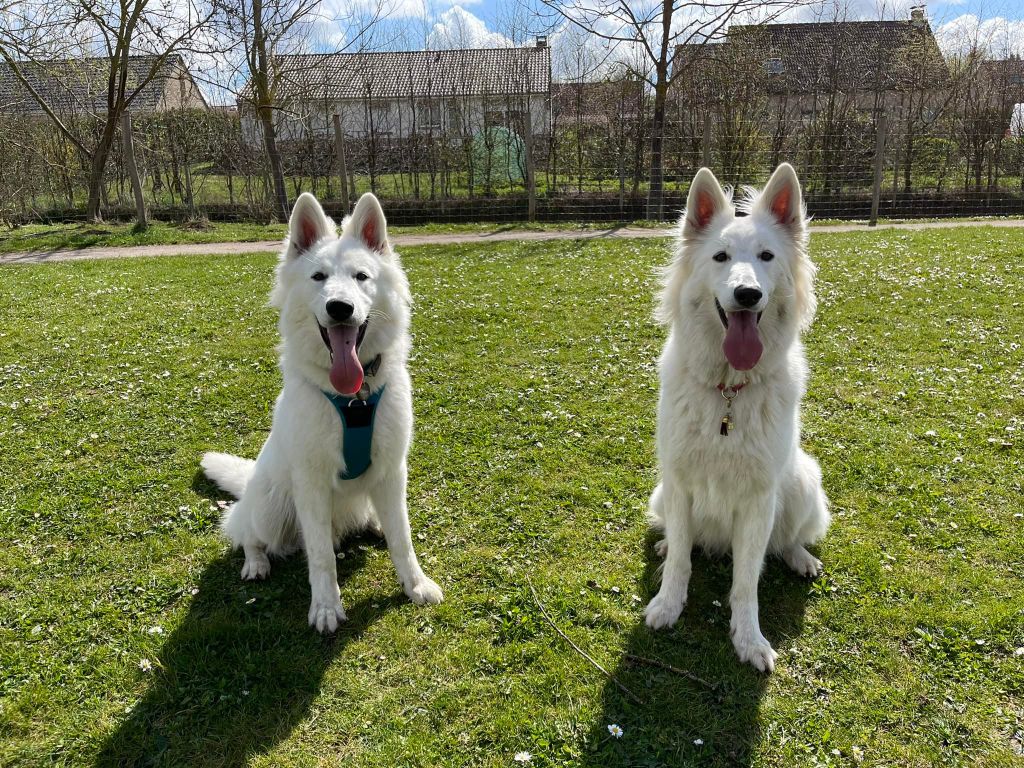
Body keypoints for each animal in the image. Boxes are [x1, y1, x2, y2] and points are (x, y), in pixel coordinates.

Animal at [199, 191, 440, 630]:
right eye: (318, 278)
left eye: (361, 276)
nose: (339, 307)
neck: (354, 399)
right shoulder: (310, 485)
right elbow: (322, 558)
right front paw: (326, 607)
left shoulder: (392, 472)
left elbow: (403, 538)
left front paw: (415, 585)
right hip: (269, 510)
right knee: (245, 532)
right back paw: (256, 562)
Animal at [647, 163, 831, 671]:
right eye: (720, 257)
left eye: (767, 256)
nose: (747, 294)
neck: (728, 389)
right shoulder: (678, 481)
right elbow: (680, 562)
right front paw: (667, 604)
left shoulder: (758, 499)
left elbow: (747, 580)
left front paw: (749, 640)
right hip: (660, 493)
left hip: (803, 480)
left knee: (785, 541)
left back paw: (800, 558)